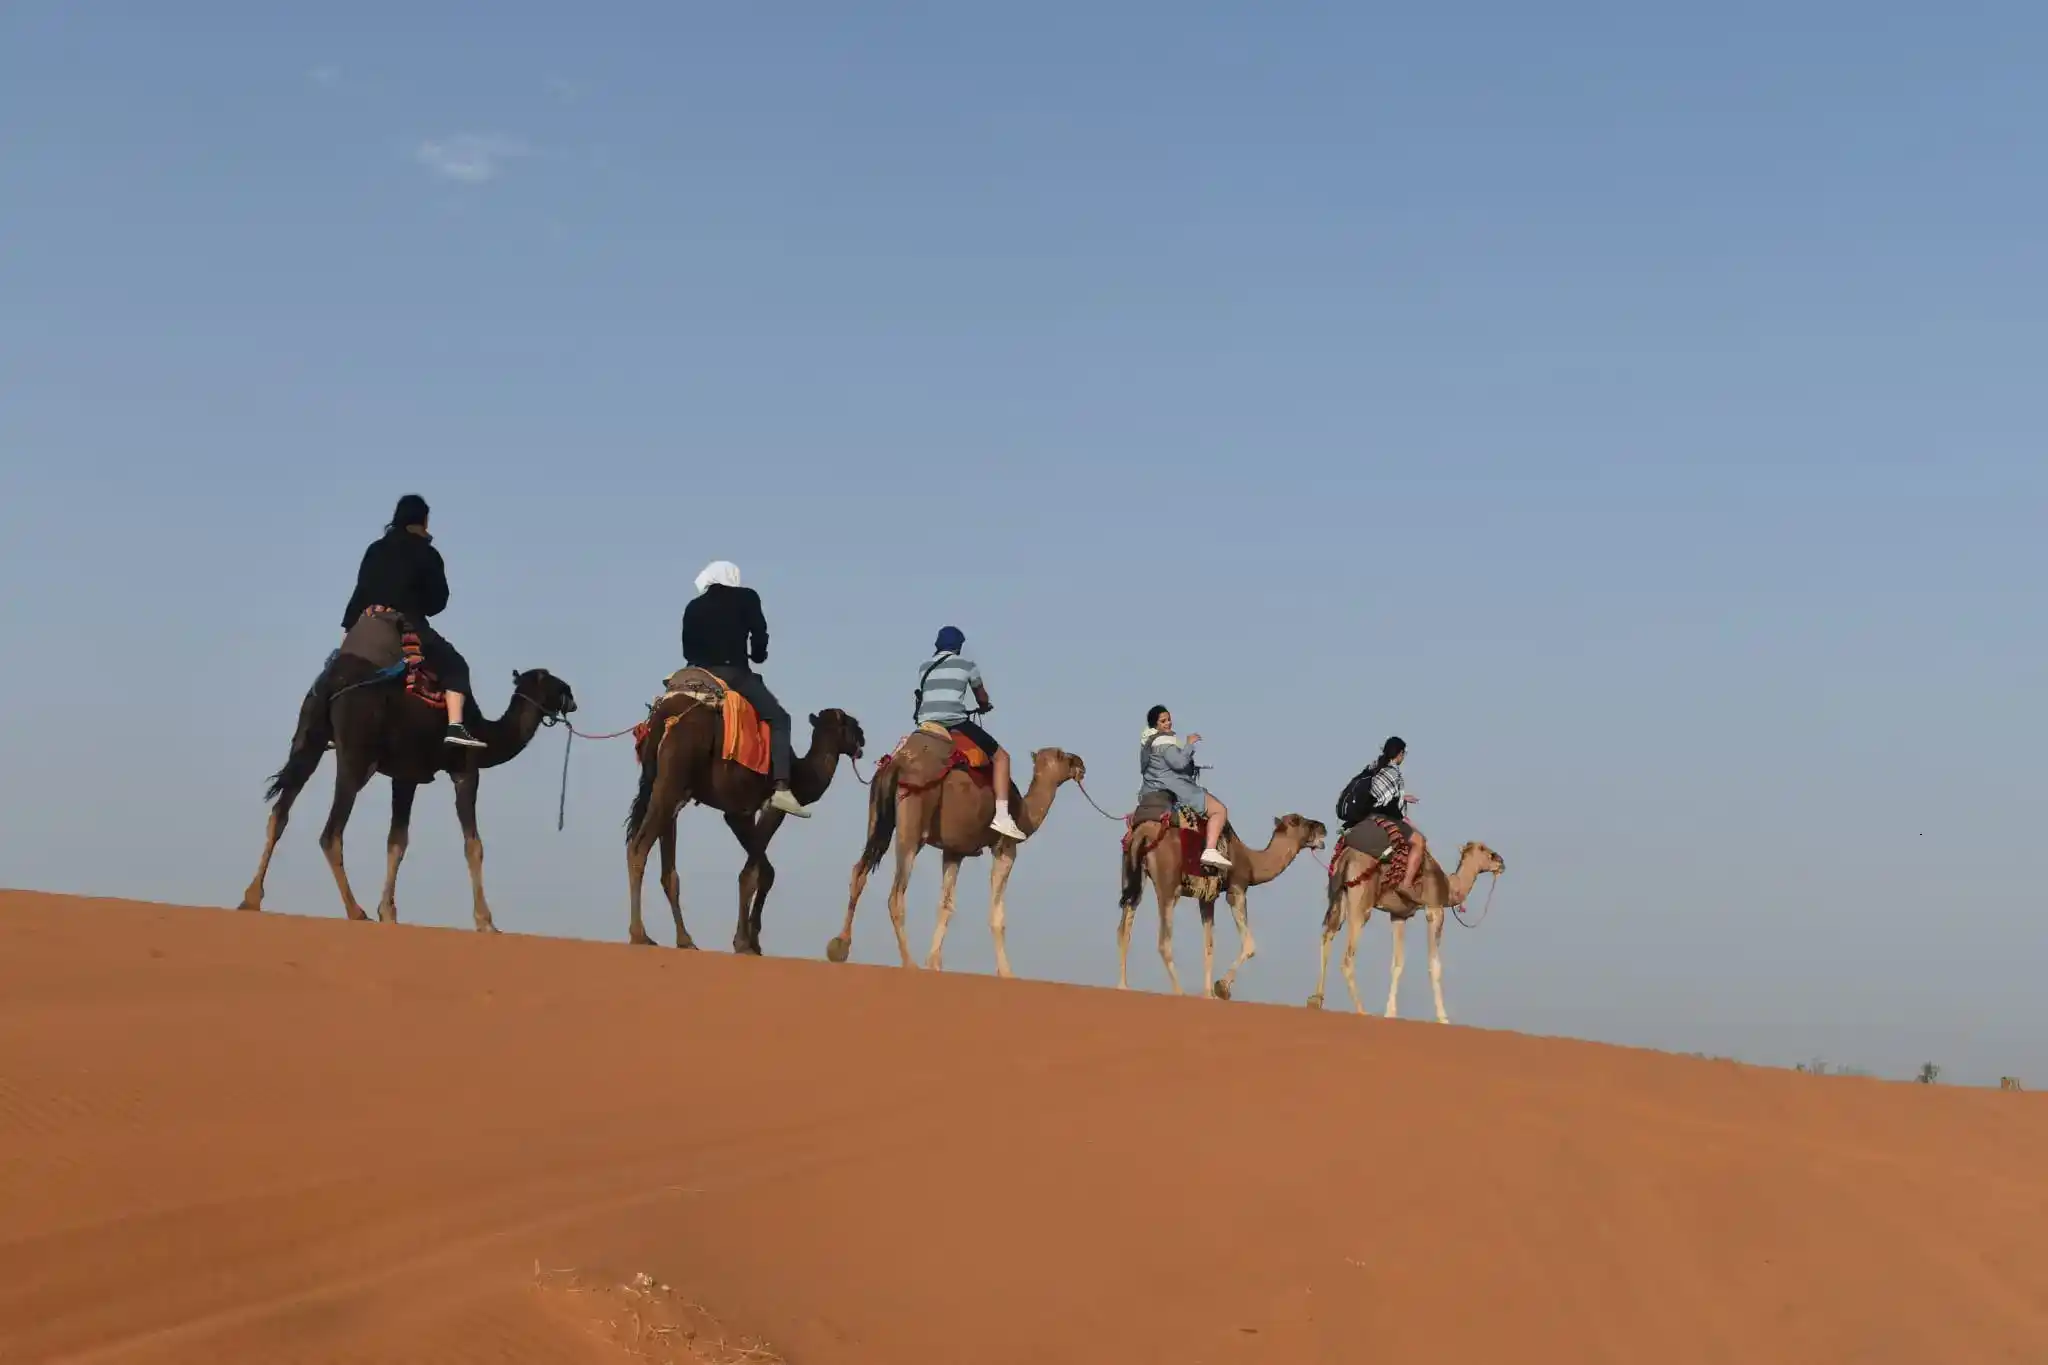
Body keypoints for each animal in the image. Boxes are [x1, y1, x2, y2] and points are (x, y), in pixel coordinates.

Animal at [239, 654, 577, 933]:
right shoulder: (466, 771)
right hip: (355, 756)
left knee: (281, 811)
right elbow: (473, 845)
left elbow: (397, 841)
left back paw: (251, 898)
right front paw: (486, 922)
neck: (486, 733)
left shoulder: (406, 776)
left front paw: (388, 912)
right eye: (556, 683)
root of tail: (332, 684)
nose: (574, 699)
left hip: (309, 738)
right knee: (330, 832)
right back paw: (356, 911)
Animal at [622, 675, 864, 957]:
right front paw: (744, 943)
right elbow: (755, 874)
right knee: (638, 847)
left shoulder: (737, 813)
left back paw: (685, 940)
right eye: (852, 724)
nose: (863, 742)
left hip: (667, 789)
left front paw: (753, 941)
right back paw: (640, 935)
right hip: (672, 781)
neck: (800, 771)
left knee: (667, 868)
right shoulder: (770, 807)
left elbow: (761, 872)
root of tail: (665, 715)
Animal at [827, 732, 1089, 978]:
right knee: (896, 894)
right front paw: (1007, 973)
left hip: (877, 817)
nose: (1081, 763)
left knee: (859, 871)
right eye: (1062, 755)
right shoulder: (1005, 848)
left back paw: (839, 945)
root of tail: (896, 765)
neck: (1024, 813)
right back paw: (909, 964)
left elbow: (945, 905)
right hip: (912, 825)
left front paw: (934, 963)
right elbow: (997, 916)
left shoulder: (954, 851)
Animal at [1122, 810, 1327, 1002]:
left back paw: (1123, 986)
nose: (1323, 827)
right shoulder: (1237, 889)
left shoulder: (1207, 897)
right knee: (1164, 941)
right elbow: (1249, 945)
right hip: (1168, 885)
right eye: (1300, 821)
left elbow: (1209, 945)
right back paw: (1180, 993)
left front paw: (1208, 994)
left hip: (1135, 878)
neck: (1251, 862)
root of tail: (1144, 834)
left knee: (1124, 928)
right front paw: (1221, 987)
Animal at [1310, 834, 1507, 1023]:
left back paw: (1315, 1000)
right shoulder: (1434, 909)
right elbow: (1435, 965)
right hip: (1361, 901)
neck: (1448, 887)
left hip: (1338, 896)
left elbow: (1397, 964)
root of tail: (1346, 857)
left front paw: (1390, 1013)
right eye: (1483, 849)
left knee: (1327, 935)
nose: (1501, 862)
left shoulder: (1398, 915)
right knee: (1347, 958)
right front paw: (1443, 1018)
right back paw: (1362, 1011)